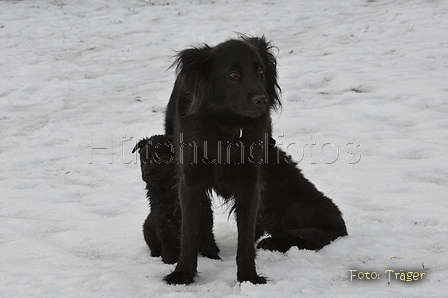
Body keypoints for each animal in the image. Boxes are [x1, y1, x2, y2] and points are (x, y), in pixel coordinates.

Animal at [130, 135, 220, 264]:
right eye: (143, 158)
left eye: (160, 156)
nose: (147, 173)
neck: (168, 187)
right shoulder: (162, 216)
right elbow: (168, 239)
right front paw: (170, 261)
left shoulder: (203, 211)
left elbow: (206, 234)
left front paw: (212, 256)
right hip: (147, 229)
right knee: (154, 245)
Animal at [163, 35, 280, 284]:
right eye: (232, 74)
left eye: (260, 71)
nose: (262, 99)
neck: (225, 127)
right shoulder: (190, 181)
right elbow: (188, 229)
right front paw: (183, 273)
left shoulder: (249, 182)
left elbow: (245, 236)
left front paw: (248, 276)